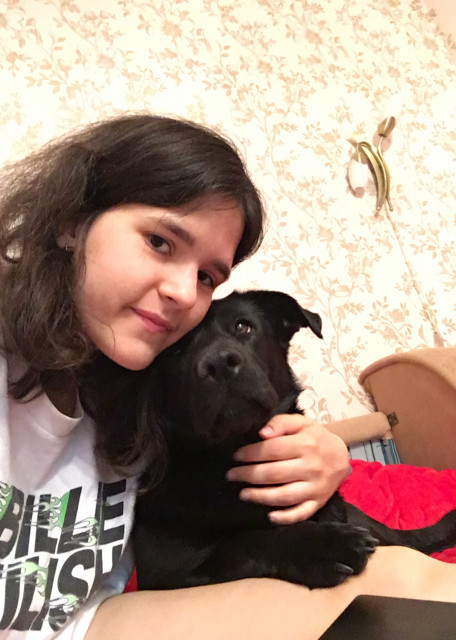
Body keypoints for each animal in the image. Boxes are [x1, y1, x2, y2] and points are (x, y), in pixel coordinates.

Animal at [132, 290, 456, 590]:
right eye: (175, 350)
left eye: (243, 326)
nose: (219, 363)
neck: (241, 449)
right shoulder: (169, 571)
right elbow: (246, 541)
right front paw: (325, 547)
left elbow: (401, 536)